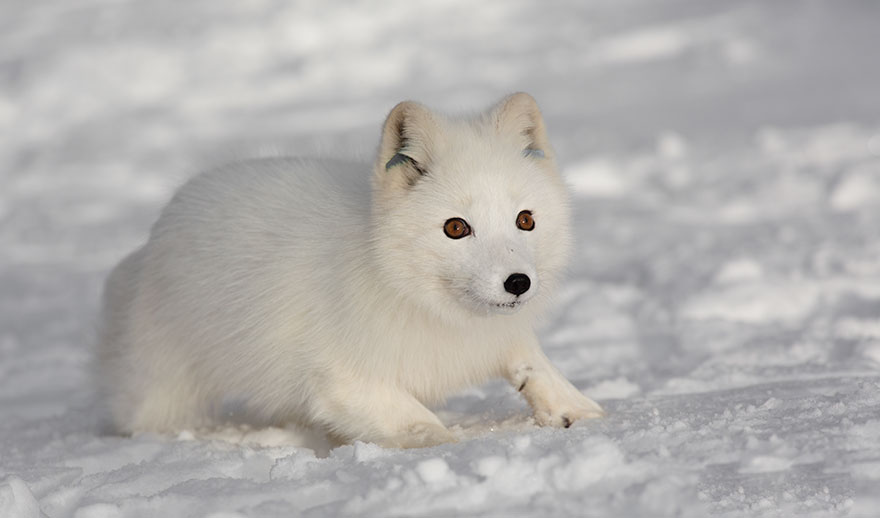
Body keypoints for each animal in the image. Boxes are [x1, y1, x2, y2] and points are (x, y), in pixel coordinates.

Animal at [96, 93, 604, 450]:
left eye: (525, 220)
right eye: (456, 228)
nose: (518, 283)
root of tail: (154, 235)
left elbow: (532, 361)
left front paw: (580, 412)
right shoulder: (343, 380)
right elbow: (422, 425)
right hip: (163, 394)